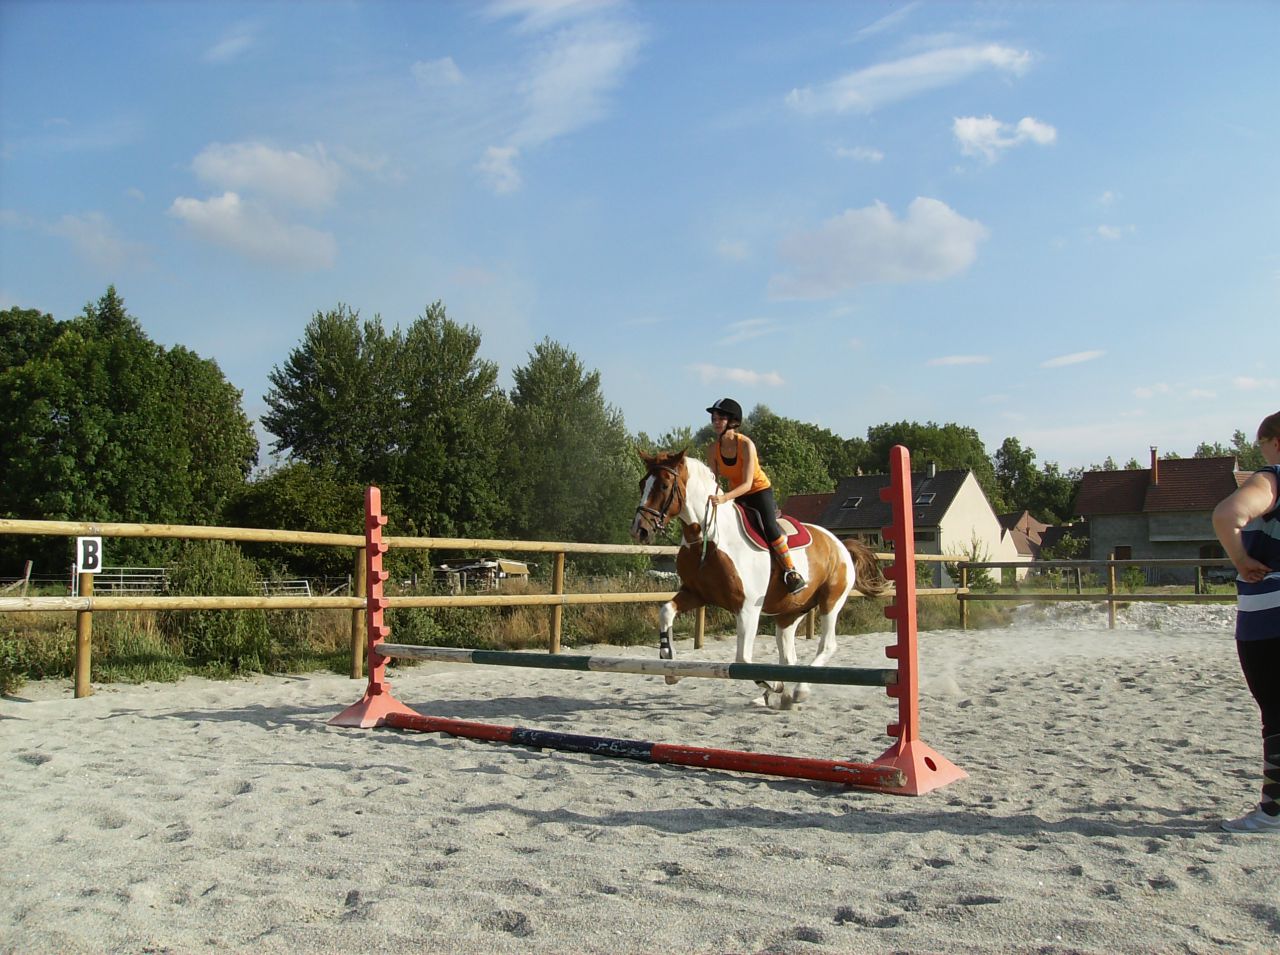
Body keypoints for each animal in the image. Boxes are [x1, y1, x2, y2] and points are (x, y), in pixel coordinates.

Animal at [630, 449, 889, 708]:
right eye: (642, 484)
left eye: (664, 485)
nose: (639, 530)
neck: (709, 538)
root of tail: (840, 544)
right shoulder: (695, 594)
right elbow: (666, 611)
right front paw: (669, 666)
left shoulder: (747, 608)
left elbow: (743, 660)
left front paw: (773, 685)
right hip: (790, 612)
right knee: (789, 656)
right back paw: (783, 697)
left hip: (830, 601)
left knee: (827, 645)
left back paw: (797, 691)